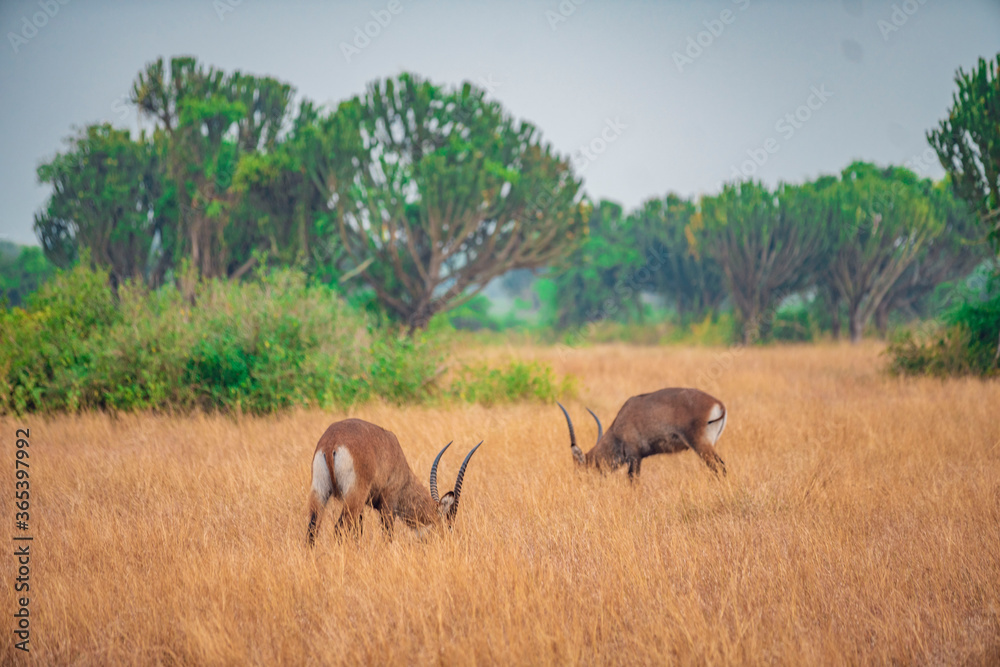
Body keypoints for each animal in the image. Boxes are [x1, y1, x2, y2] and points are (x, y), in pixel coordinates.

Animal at [306, 418, 481, 545]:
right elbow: (388, 536)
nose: (447, 544)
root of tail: (332, 441)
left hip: (320, 492)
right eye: (448, 526)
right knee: (339, 528)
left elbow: (358, 531)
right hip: (354, 496)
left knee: (313, 529)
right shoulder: (388, 506)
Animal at [558, 388, 727, 479]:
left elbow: (633, 481)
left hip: (701, 446)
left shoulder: (634, 458)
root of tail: (719, 405)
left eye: (579, 470)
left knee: (719, 467)